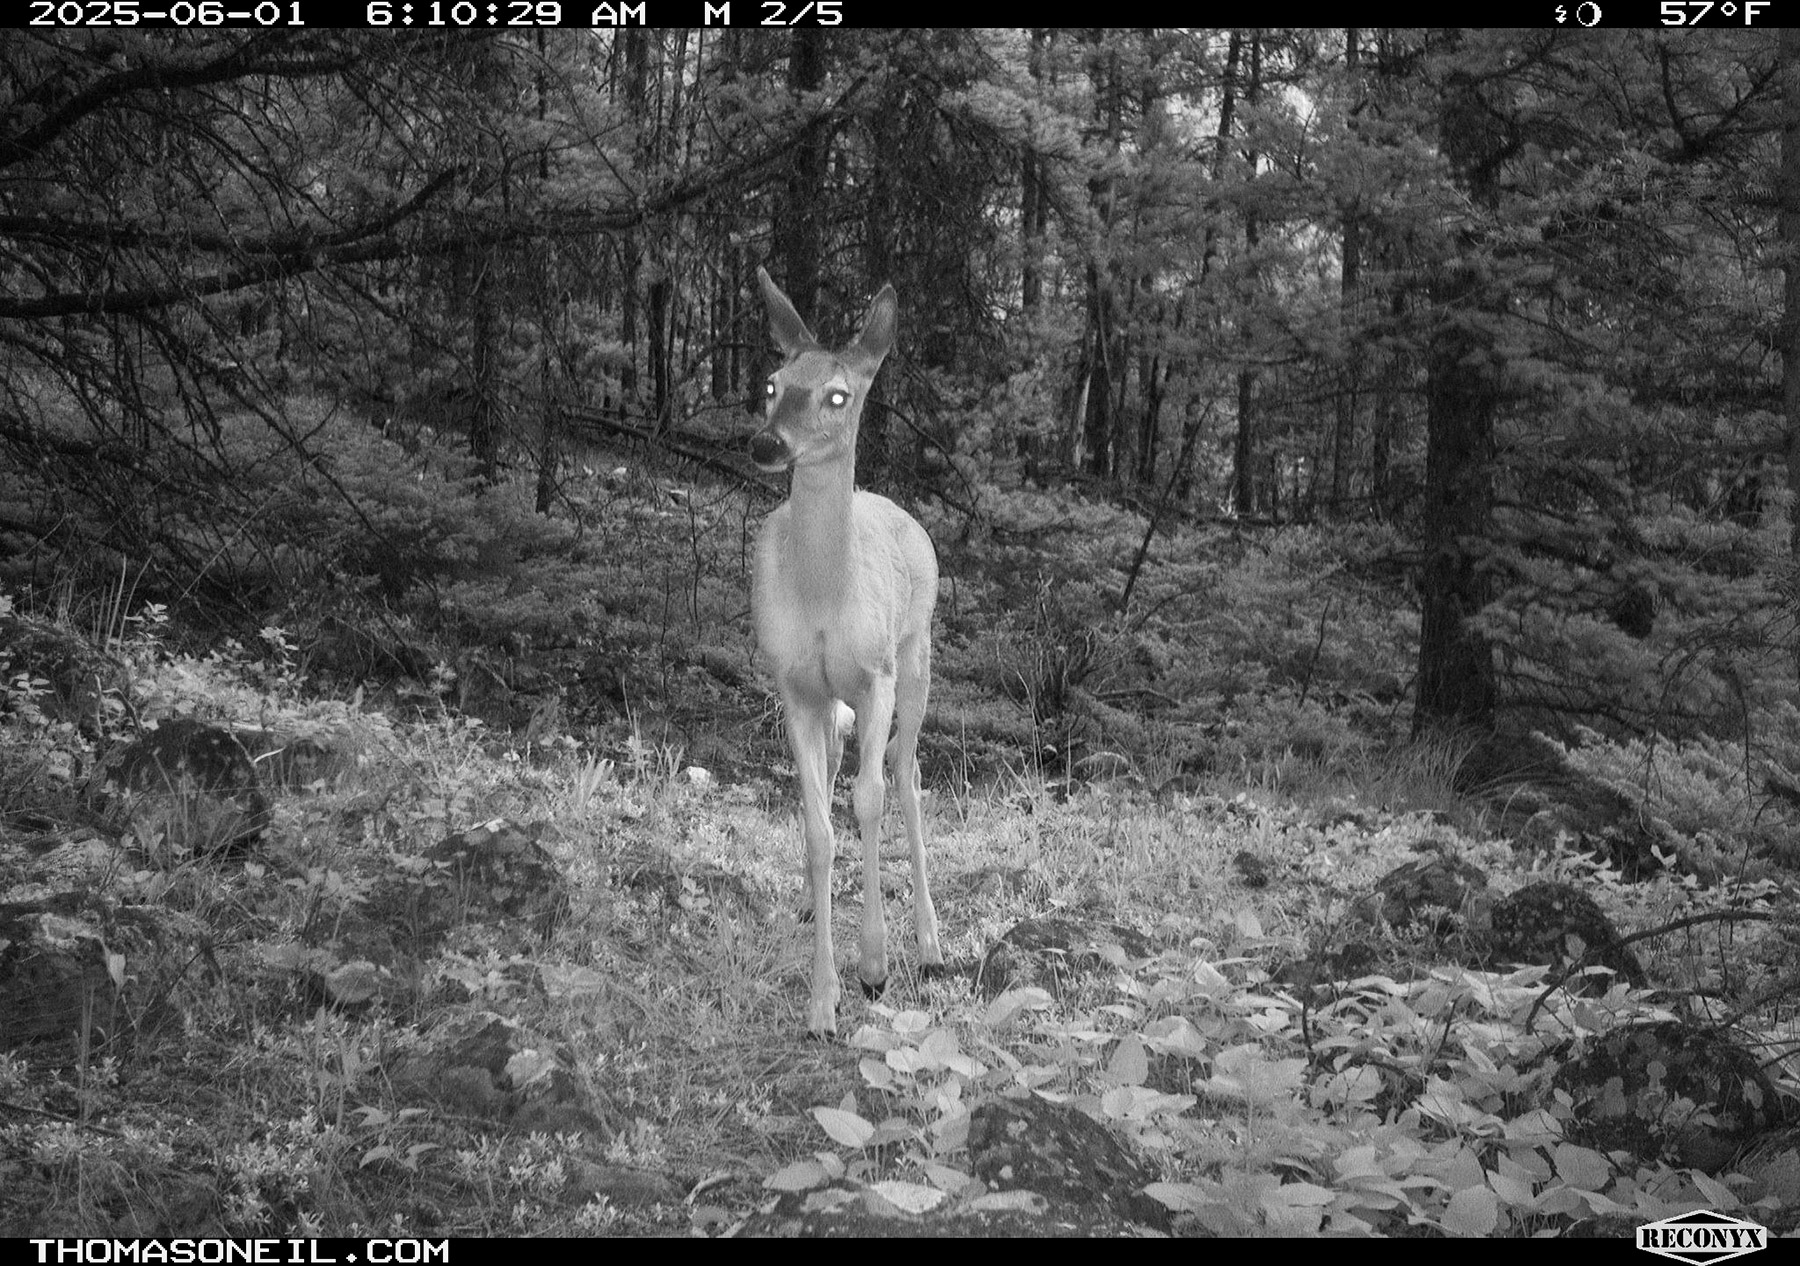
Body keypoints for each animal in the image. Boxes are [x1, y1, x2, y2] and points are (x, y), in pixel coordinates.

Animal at [749, 266, 943, 1036]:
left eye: (839, 394)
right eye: (771, 383)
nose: (767, 445)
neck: (825, 593)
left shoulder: (876, 676)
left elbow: (870, 799)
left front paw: (873, 964)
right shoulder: (794, 685)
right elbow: (817, 826)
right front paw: (822, 998)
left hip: (918, 659)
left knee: (908, 775)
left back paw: (929, 943)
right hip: (836, 699)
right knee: (839, 771)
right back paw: (813, 903)